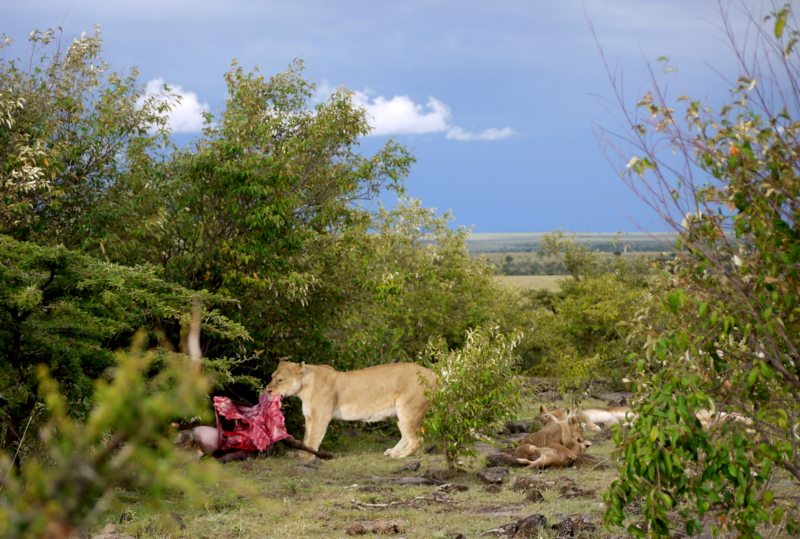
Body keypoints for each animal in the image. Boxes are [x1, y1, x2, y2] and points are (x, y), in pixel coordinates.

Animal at [266, 360, 434, 458]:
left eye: (280, 380)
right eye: (272, 377)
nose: (267, 390)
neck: (303, 388)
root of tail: (432, 373)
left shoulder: (321, 416)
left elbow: (313, 438)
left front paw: (307, 457)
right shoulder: (309, 417)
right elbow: (306, 438)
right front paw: (300, 453)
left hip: (409, 410)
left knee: (417, 440)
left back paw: (400, 456)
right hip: (399, 414)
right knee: (406, 436)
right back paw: (392, 451)